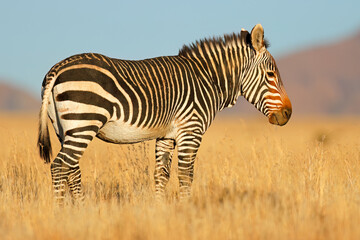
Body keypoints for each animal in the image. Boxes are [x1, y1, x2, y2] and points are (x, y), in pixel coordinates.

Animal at [37, 24, 290, 203]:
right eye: (270, 74)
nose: (288, 113)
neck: (208, 79)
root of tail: (57, 69)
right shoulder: (191, 130)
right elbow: (186, 174)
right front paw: (187, 211)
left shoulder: (166, 136)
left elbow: (161, 174)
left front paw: (159, 211)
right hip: (84, 123)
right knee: (59, 167)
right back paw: (62, 212)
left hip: (65, 129)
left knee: (72, 169)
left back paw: (80, 210)